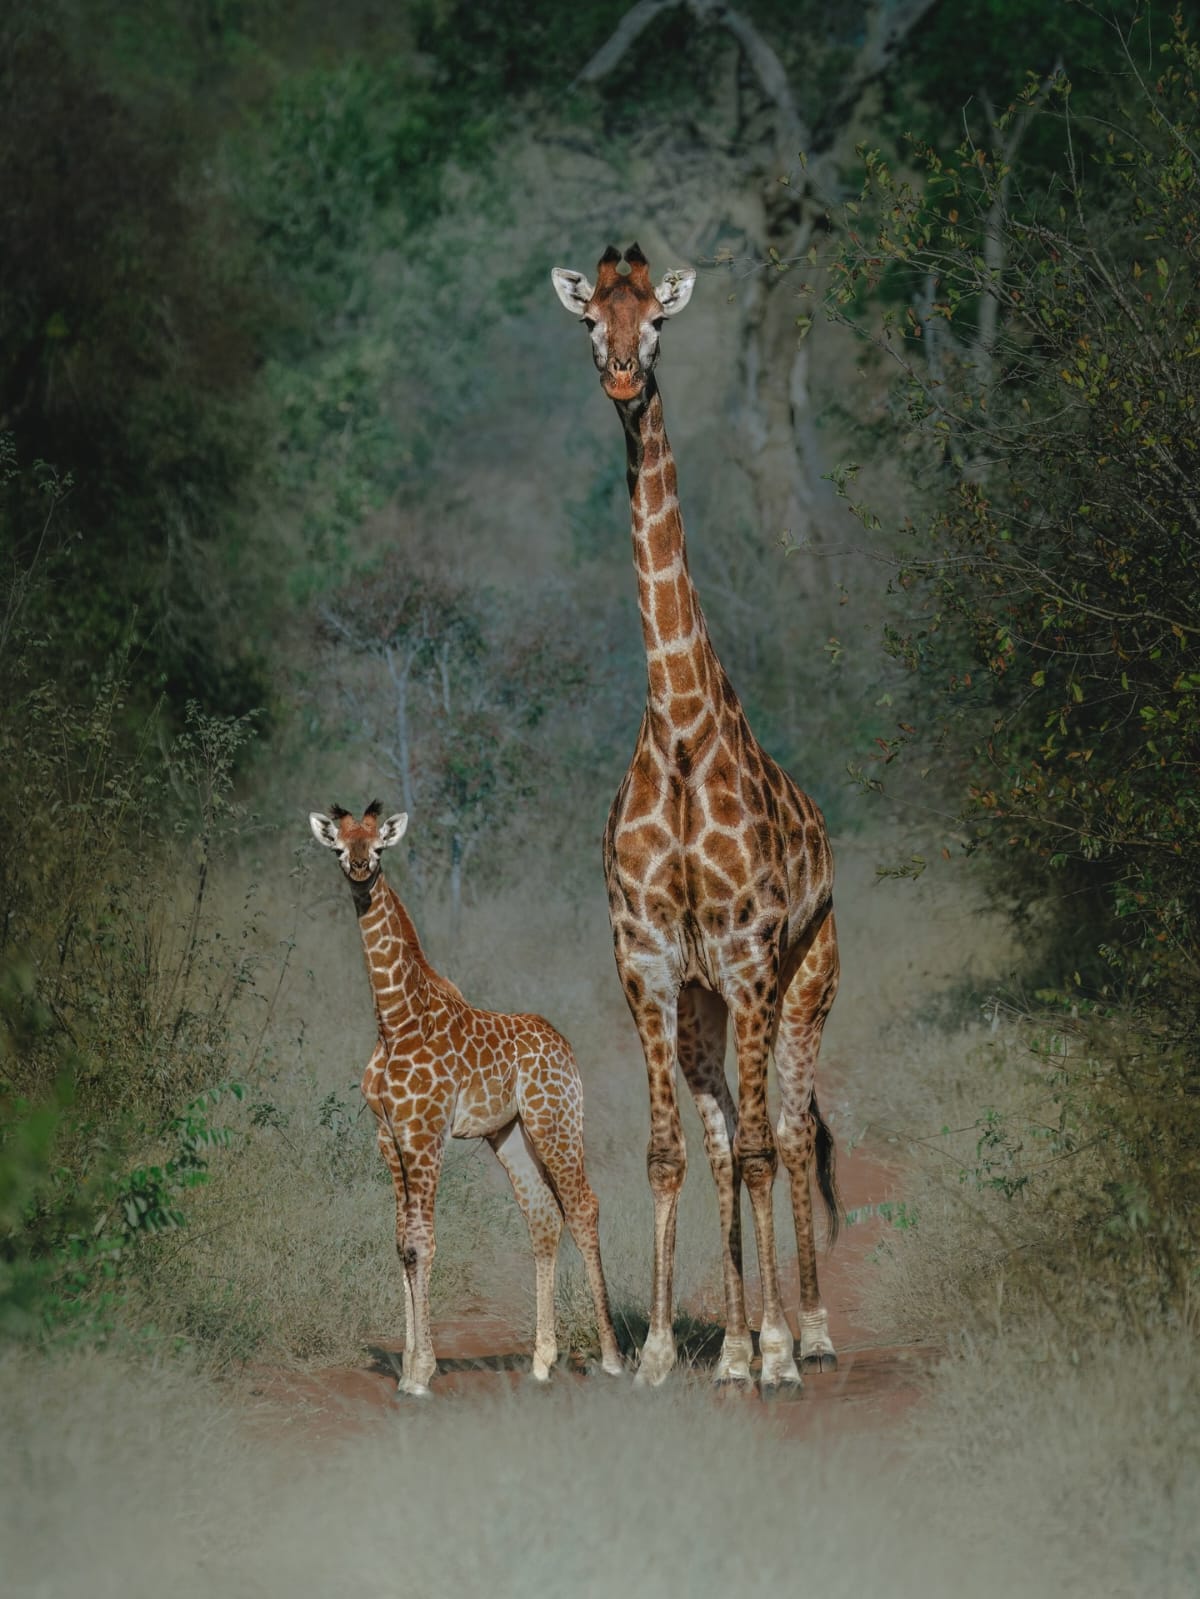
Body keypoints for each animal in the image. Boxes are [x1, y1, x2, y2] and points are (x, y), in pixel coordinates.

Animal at [309, 801, 623, 1396]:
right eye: (338, 846)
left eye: (378, 847)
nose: (360, 870)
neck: (395, 1021)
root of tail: (565, 1046)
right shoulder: (389, 1137)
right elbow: (400, 1242)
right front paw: (409, 1366)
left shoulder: (426, 1134)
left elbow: (422, 1242)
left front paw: (420, 1374)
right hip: (510, 1134)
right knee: (543, 1217)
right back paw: (542, 1361)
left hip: (556, 1121)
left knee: (584, 1207)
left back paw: (615, 1359)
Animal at [551, 244, 841, 1396]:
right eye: (593, 321)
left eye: (661, 325)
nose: (625, 379)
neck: (677, 729)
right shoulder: (648, 959)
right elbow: (673, 1154)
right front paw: (668, 1350)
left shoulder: (752, 952)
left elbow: (764, 1149)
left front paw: (776, 1355)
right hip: (710, 1010)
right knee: (727, 1139)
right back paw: (744, 1340)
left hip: (801, 985)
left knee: (791, 1132)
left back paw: (806, 1336)